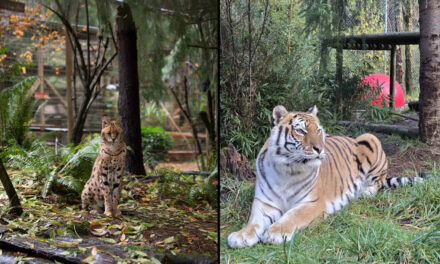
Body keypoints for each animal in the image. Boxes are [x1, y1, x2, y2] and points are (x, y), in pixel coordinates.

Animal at [229, 105, 424, 248]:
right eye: (301, 131)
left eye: (319, 131)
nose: (320, 148)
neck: (287, 170)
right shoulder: (264, 203)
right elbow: (254, 222)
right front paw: (241, 235)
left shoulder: (313, 203)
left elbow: (292, 216)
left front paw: (275, 232)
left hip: (370, 138)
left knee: (379, 181)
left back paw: (364, 192)